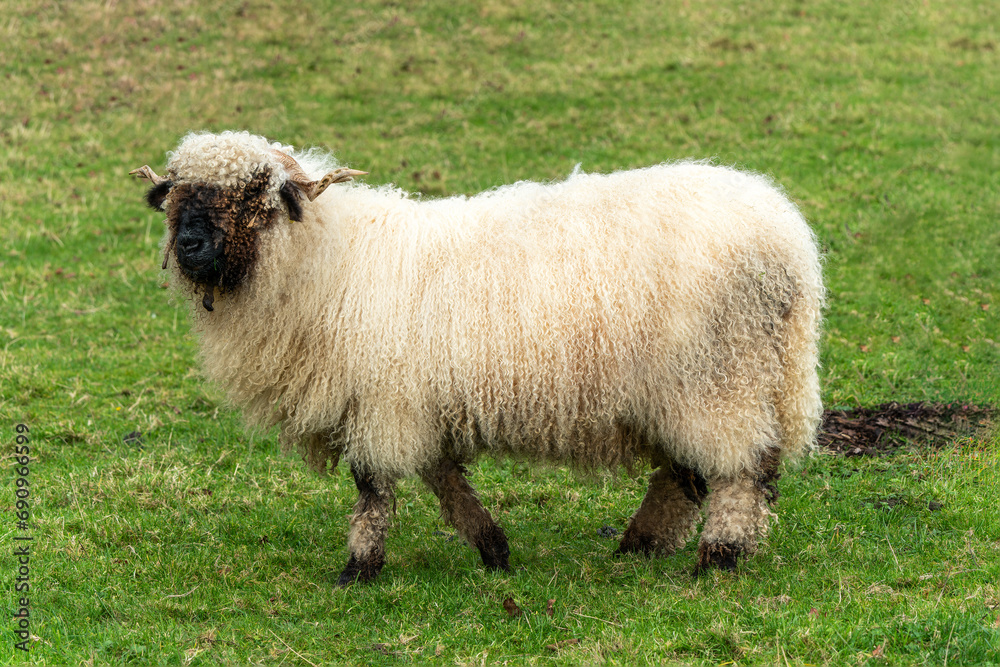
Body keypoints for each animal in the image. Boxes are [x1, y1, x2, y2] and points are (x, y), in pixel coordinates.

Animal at [132, 131, 824, 586]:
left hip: (717, 375)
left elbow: (374, 488)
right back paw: (643, 543)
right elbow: (442, 478)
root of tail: (789, 240)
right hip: (698, 384)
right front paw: (493, 548)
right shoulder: (414, 401)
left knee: (739, 467)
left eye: (254, 194)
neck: (327, 263)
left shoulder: (382, 400)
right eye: (177, 194)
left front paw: (358, 568)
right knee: (689, 473)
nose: (191, 245)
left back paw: (720, 556)